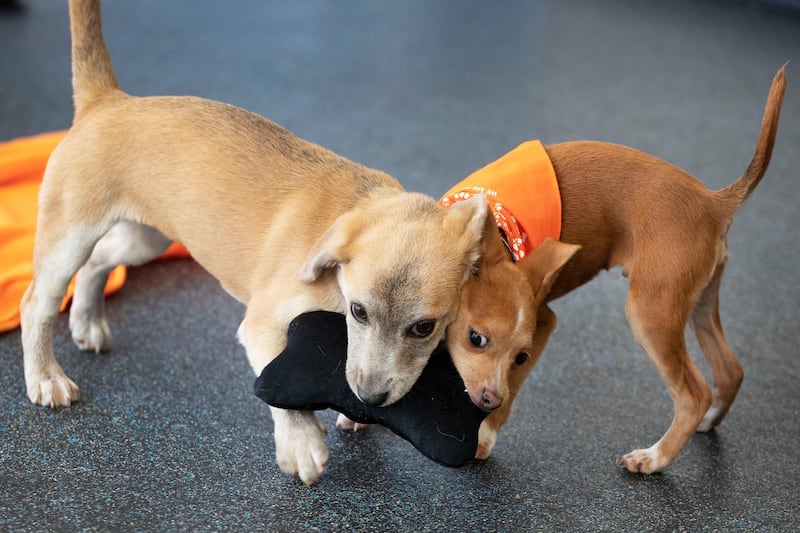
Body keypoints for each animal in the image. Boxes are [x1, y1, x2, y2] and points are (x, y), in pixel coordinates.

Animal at [21, 0, 488, 484]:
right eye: (358, 311)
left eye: (424, 328)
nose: (369, 398)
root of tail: (109, 100)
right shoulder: (261, 326)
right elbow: (281, 389)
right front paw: (300, 443)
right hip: (69, 237)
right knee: (37, 305)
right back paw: (45, 378)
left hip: (145, 240)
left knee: (98, 263)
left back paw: (87, 322)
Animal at [446, 64, 784, 472]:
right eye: (475, 339)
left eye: (521, 357)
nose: (488, 399)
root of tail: (713, 201)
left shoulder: (543, 321)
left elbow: (509, 395)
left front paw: (484, 436)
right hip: (699, 304)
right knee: (730, 371)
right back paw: (706, 423)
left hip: (650, 314)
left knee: (694, 393)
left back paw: (654, 458)